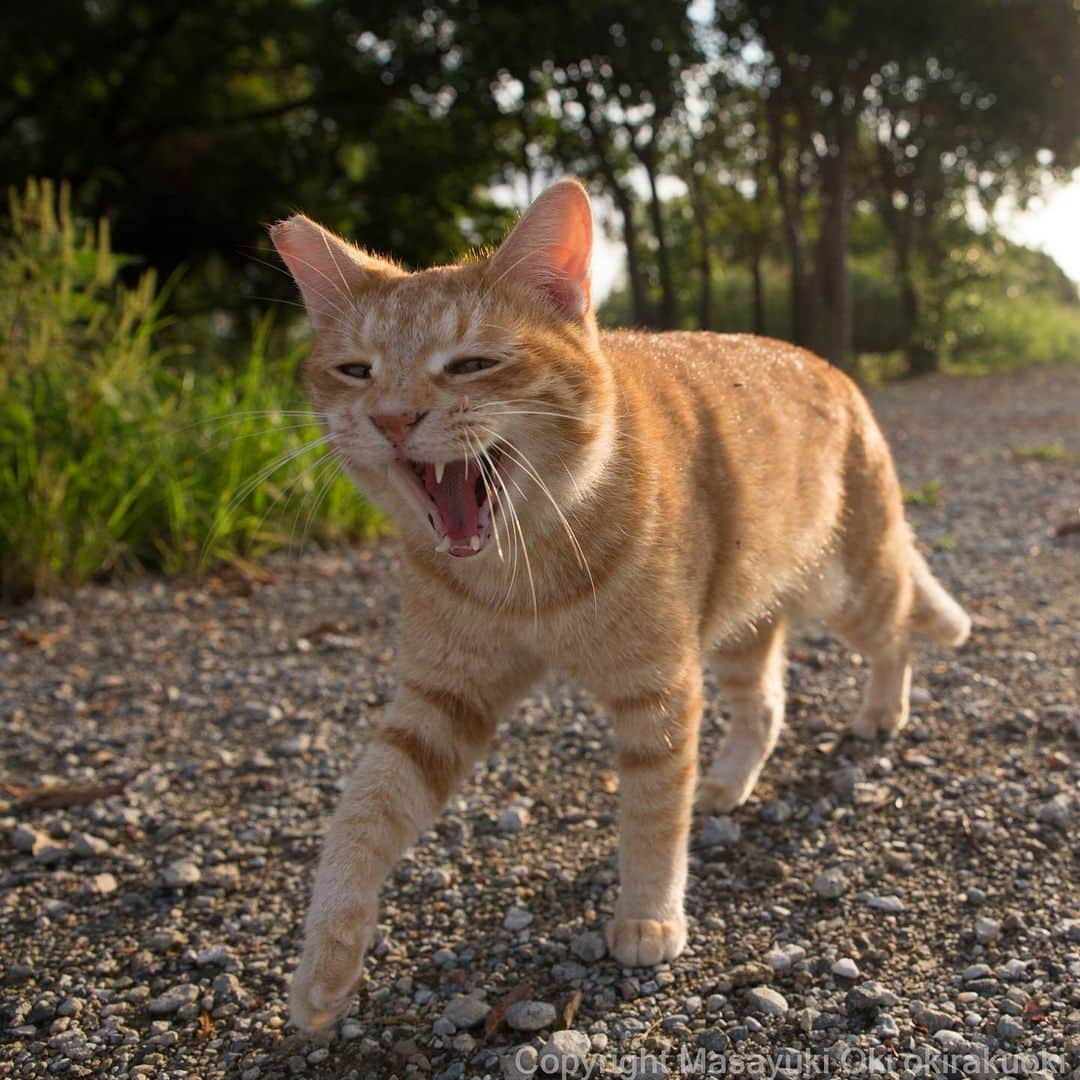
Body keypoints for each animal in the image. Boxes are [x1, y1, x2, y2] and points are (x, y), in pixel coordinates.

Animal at [270, 181, 972, 1032]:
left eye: (471, 364)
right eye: (355, 371)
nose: (393, 418)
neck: (525, 569)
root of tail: (831, 367)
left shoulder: (657, 693)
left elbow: (651, 817)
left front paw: (646, 917)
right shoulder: (441, 699)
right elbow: (364, 810)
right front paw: (326, 963)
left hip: (851, 585)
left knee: (896, 631)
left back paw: (881, 711)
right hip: (740, 629)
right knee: (767, 703)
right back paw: (728, 782)